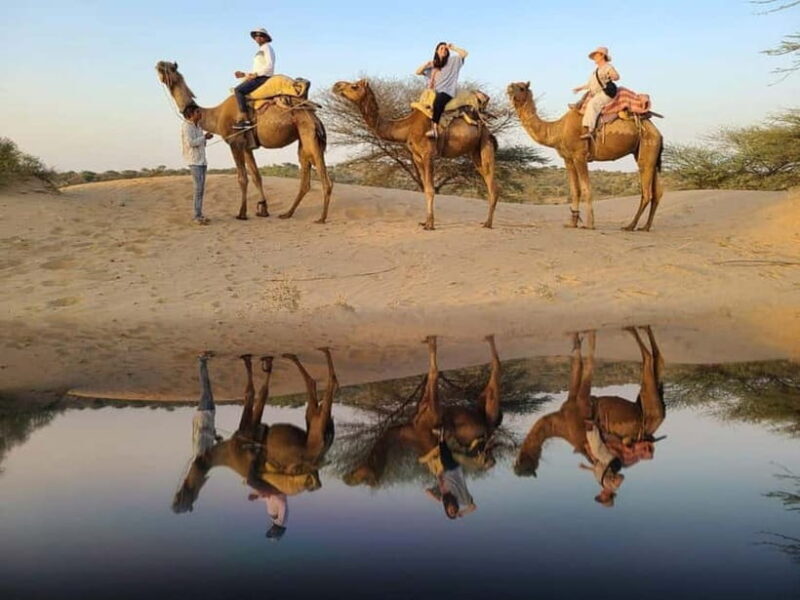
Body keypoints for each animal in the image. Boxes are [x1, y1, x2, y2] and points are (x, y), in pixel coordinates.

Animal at [156, 61, 333, 222]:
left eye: (170, 68)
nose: (158, 64)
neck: (216, 116)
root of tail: (314, 115)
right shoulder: (247, 146)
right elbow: (256, 176)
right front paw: (263, 209)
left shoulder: (235, 143)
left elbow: (242, 178)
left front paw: (241, 213)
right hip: (304, 141)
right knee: (305, 181)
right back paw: (287, 214)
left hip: (309, 136)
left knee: (325, 180)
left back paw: (321, 218)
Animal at [172, 348, 338, 516]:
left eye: (183, 498)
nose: (175, 504)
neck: (227, 451)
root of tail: (319, 458)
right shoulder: (249, 440)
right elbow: (259, 392)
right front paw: (261, 363)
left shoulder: (248, 432)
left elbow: (253, 392)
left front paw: (257, 363)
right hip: (317, 429)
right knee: (316, 391)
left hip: (316, 432)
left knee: (322, 385)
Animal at [332, 80, 499, 230]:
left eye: (354, 86)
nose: (336, 86)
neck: (407, 128)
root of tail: (486, 127)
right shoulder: (416, 157)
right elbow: (425, 189)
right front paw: (425, 222)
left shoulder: (428, 154)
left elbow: (430, 189)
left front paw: (430, 225)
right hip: (475, 152)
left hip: (486, 144)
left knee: (493, 185)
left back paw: (488, 223)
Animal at [507, 82, 664, 231]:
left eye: (521, 87)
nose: (509, 87)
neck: (558, 129)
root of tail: (657, 132)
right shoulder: (568, 159)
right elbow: (574, 190)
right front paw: (572, 223)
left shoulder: (579, 155)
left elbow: (586, 189)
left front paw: (589, 224)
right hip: (648, 153)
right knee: (657, 192)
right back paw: (645, 227)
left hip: (647, 146)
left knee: (647, 192)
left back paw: (630, 226)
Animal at [515, 327, 665, 478]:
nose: (516, 468)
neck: (560, 422)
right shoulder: (577, 403)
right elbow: (581, 363)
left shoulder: (579, 405)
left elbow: (584, 363)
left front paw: (584, 334)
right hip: (646, 410)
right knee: (652, 360)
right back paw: (636, 328)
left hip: (649, 415)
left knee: (650, 358)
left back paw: (634, 328)